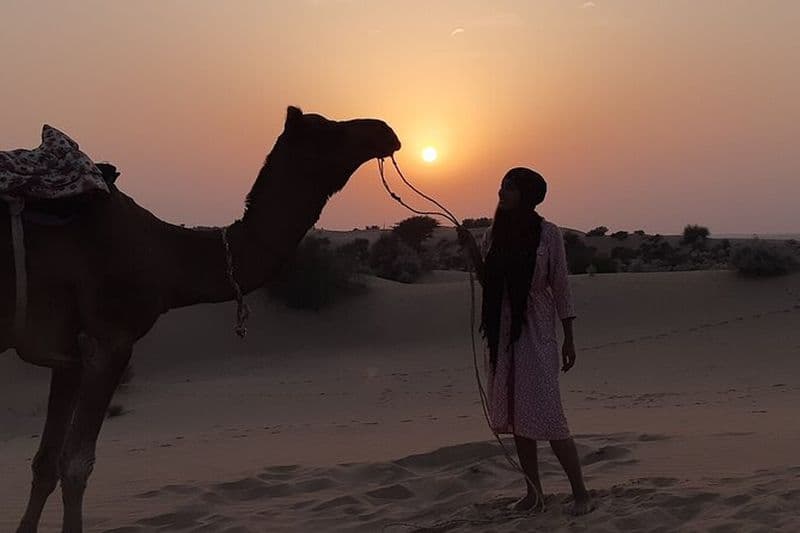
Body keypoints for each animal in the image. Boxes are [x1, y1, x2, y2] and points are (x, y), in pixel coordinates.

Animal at [0, 106, 401, 533]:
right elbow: (76, 466)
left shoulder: (66, 352)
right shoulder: (110, 340)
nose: (385, 130)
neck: (167, 257)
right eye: (327, 131)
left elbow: (45, 464)